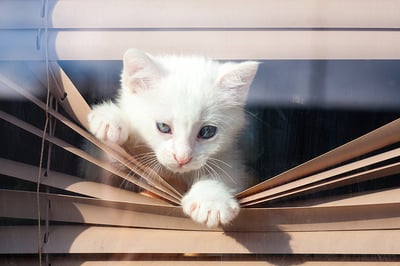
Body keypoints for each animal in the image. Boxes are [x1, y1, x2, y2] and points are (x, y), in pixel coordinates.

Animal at [86, 48, 258, 228]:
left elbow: (225, 172)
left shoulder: (231, 158)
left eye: (207, 131)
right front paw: (110, 119)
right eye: (163, 127)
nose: (182, 158)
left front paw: (211, 200)